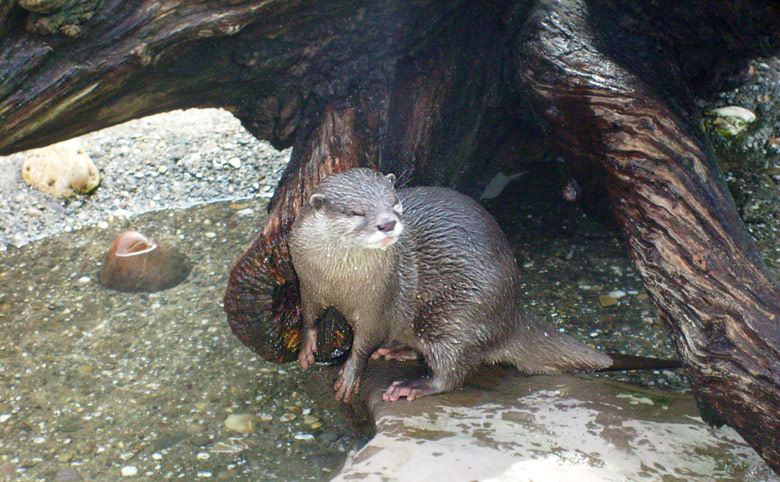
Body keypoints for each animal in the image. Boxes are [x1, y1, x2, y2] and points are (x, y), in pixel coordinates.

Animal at [290, 168, 612, 402]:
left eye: (394, 203)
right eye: (356, 212)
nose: (387, 223)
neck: (338, 279)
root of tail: (512, 316)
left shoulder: (380, 303)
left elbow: (365, 343)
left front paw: (349, 375)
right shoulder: (307, 281)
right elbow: (309, 314)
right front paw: (306, 349)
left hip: (456, 315)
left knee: (453, 369)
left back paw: (413, 386)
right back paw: (396, 350)